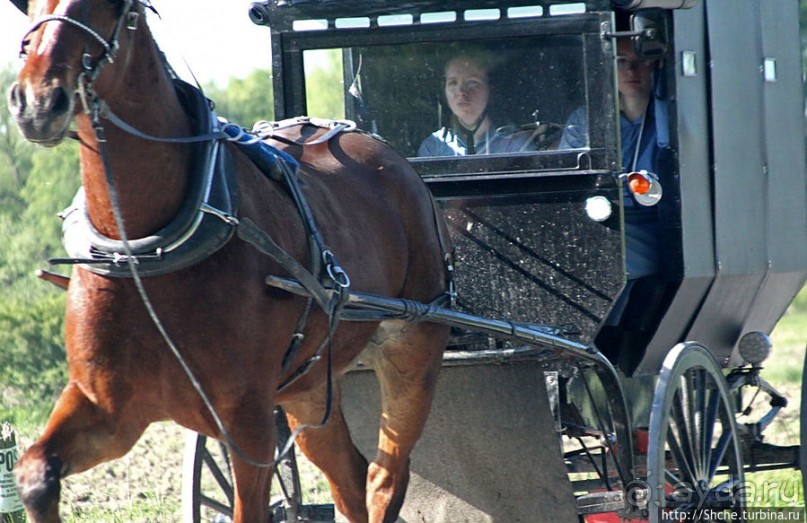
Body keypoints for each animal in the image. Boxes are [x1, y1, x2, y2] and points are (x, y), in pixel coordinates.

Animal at [6, 2, 452, 520]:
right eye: (32, 11)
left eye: (111, 12)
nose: (37, 100)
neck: (149, 252)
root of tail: (393, 160)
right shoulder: (109, 408)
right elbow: (35, 474)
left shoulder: (246, 422)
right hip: (309, 385)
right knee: (349, 476)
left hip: (413, 347)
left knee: (385, 476)